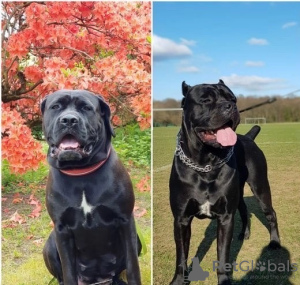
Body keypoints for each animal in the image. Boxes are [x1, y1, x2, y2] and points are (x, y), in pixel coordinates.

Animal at [40, 90, 142, 284]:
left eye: (86, 108)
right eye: (56, 106)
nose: (69, 120)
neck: (81, 173)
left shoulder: (126, 220)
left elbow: (133, 266)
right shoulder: (61, 230)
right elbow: (68, 271)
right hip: (49, 243)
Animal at [170, 79, 280, 284]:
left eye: (233, 98)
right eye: (205, 100)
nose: (230, 106)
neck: (205, 163)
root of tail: (248, 137)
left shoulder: (225, 217)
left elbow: (222, 255)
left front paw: (223, 280)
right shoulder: (181, 219)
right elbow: (181, 255)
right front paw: (179, 280)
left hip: (261, 187)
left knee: (271, 214)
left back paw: (275, 242)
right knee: (244, 209)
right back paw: (244, 233)